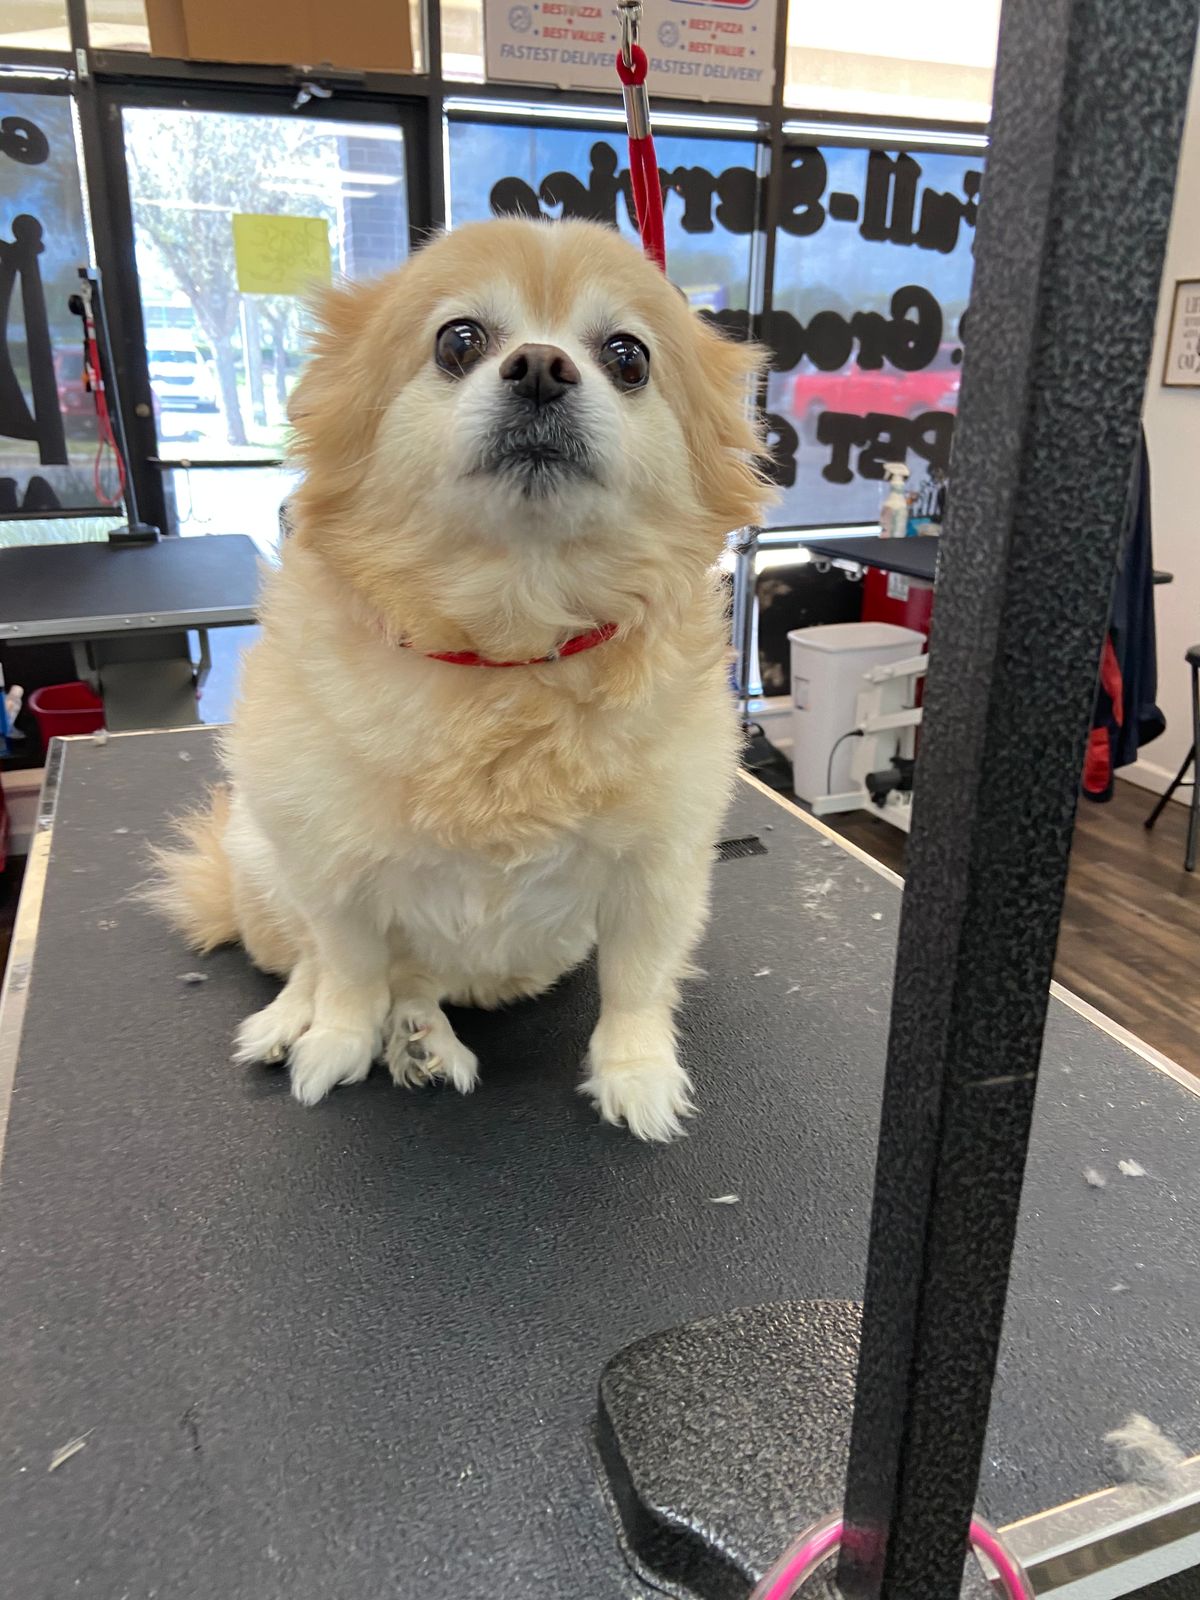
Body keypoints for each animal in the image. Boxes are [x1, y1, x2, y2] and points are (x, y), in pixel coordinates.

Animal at [151, 218, 768, 1140]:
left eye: (628, 357)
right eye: (459, 341)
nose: (542, 366)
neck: (506, 650)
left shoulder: (659, 874)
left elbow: (636, 983)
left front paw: (638, 1075)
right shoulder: (329, 871)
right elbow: (347, 966)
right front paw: (334, 1040)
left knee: (418, 981)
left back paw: (421, 1039)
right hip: (262, 858)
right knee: (312, 960)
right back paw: (302, 1023)